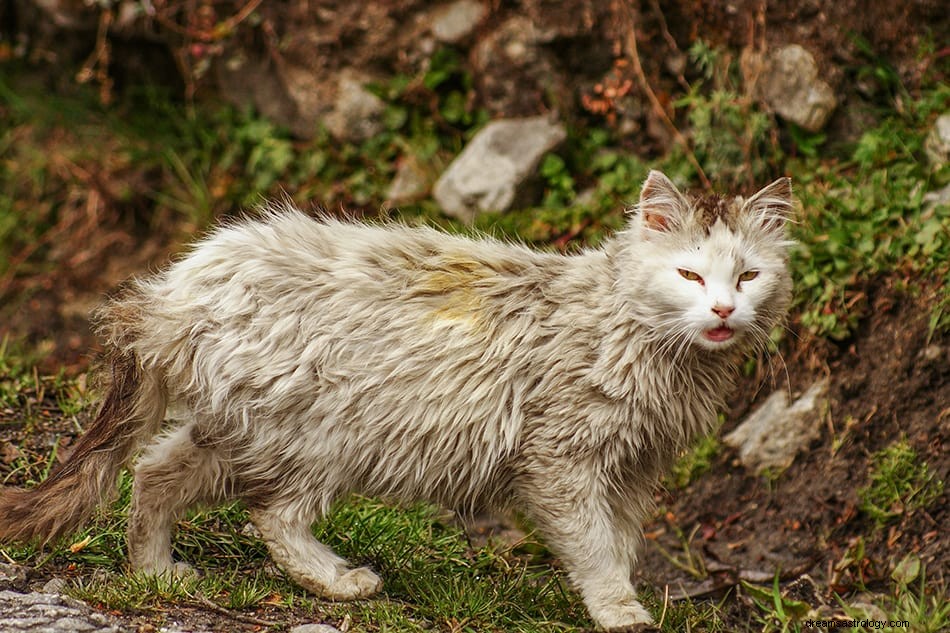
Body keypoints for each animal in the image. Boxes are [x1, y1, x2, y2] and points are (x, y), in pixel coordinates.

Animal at [0, 170, 796, 628]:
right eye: (690, 275)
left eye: (748, 276)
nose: (723, 310)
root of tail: (179, 284)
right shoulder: (562, 461)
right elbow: (596, 547)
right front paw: (618, 610)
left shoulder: (635, 469)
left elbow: (622, 541)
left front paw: (620, 595)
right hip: (319, 428)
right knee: (273, 515)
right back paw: (339, 581)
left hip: (239, 425)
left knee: (154, 472)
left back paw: (155, 569)